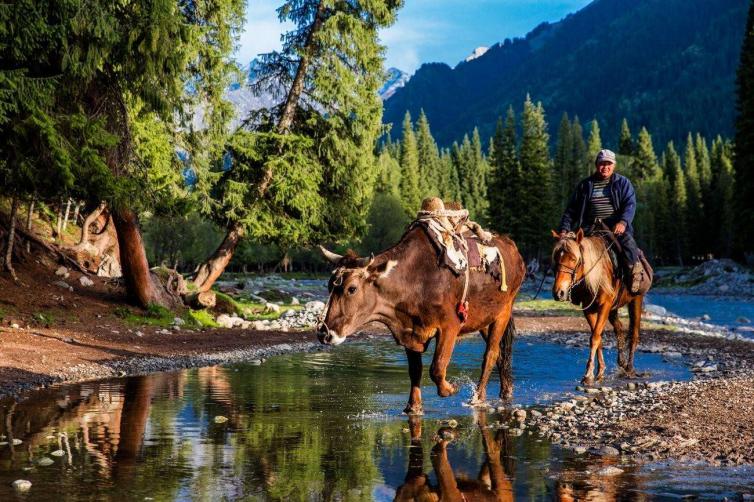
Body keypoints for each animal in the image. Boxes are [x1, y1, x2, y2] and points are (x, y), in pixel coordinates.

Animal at [548, 228, 648, 384]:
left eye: (574, 259)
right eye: (556, 258)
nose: (559, 292)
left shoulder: (604, 306)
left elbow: (595, 337)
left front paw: (588, 375)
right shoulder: (589, 309)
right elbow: (598, 337)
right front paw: (600, 372)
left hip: (636, 300)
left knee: (634, 334)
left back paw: (630, 369)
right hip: (613, 309)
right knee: (619, 328)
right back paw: (622, 362)